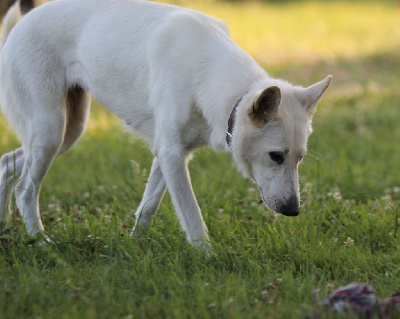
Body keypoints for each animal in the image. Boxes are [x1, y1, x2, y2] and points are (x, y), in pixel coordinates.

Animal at [0, 0, 332, 250]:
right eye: (275, 156)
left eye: (300, 158)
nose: (293, 210)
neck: (206, 72)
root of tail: (20, 25)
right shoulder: (172, 154)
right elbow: (192, 215)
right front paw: (208, 257)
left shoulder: (168, 154)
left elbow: (148, 206)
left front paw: (135, 245)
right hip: (51, 131)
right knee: (25, 190)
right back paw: (40, 242)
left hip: (67, 132)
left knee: (7, 164)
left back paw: (5, 230)